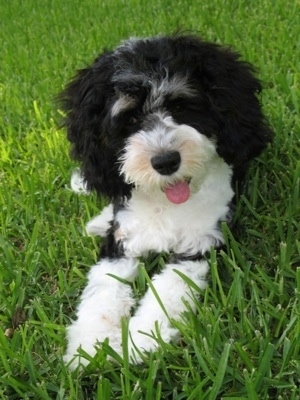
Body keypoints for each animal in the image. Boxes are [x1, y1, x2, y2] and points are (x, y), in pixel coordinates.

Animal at [59, 34, 274, 368]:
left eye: (181, 106)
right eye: (131, 117)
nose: (165, 161)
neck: (166, 201)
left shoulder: (200, 245)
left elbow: (167, 290)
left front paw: (139, 340)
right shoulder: (122, 242)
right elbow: (103, 287)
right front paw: (91, 346)